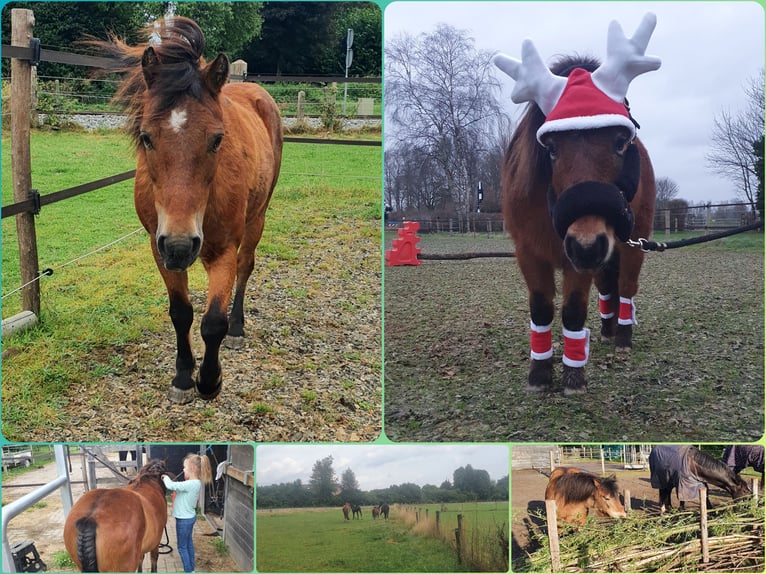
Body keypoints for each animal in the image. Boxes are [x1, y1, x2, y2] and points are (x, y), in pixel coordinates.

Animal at [93, 18, 284, 404]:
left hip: (257, 218)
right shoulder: (158, 248)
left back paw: (238, 328)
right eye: (147, 137)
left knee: (246, 266)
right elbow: (181, 313)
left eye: (217, 139)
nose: (181, 245)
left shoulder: (222, 250)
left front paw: (209, 381)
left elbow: (213, 322)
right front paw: (183, 377)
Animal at [496, 12, 664, 396]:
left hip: (630, 243)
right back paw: (606, 330)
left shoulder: (581, 255)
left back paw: (622, 338)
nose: (586, 245)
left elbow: (572, 311)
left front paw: (573, 376)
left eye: (619, 141)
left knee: (626, 288)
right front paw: (539, 373)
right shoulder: (529, 253)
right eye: (552, 148)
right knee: (608, 289)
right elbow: (541, 309)